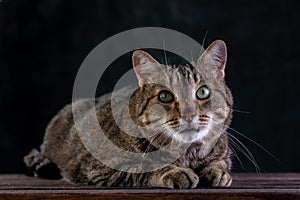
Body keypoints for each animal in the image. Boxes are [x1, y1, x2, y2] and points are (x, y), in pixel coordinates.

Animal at [24, 39, 233, 188]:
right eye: (165, 96)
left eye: (203, 92)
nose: (189, 115)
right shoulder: (102, 167)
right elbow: (144, 167)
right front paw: (174, 172)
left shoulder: (222, 152)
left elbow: (220, 162)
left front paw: (218, 171)